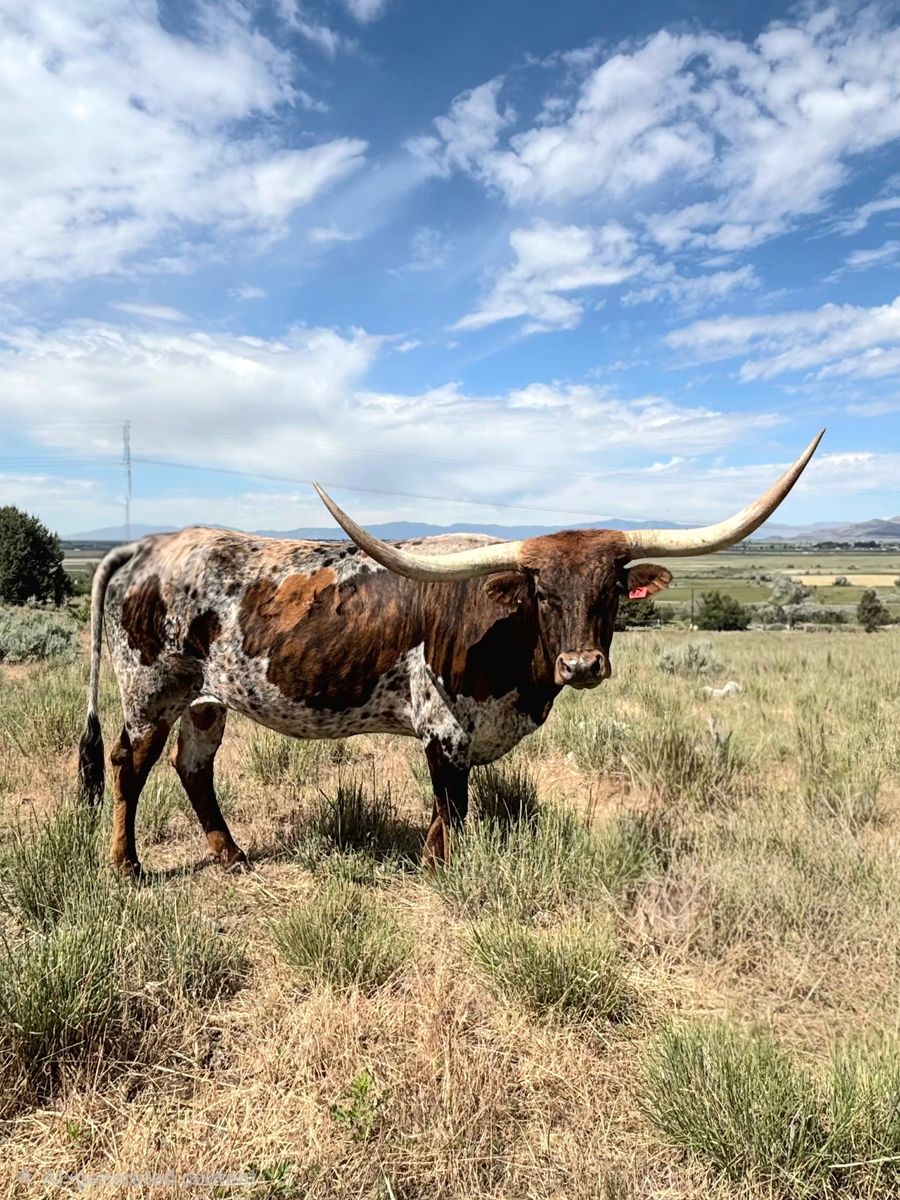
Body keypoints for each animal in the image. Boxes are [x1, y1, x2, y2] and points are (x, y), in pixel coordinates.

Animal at [78, 431, 823, 874]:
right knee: (128, 766)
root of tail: (149, 545)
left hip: (207, 699)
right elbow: (452, 815)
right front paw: (445, 876)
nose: (582, 666)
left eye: (612, 588)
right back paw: (126, 866)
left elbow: (442, 818)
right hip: (149, 693)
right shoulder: (446, 733)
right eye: (540, 591)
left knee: (193, 767)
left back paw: (230, 855)